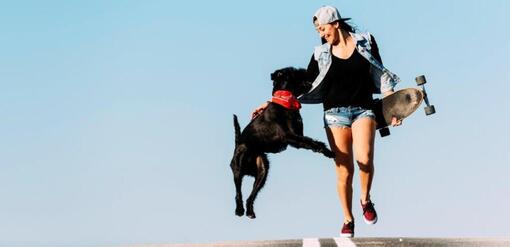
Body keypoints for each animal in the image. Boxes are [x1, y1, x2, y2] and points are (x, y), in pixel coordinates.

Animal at [230, 67, 334, 218]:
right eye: (295, 72)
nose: (308, 72)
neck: (286, 101)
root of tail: (238, 143)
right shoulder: (289, 137)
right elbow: (312, 142)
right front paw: (328, 151)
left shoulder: (297, 136)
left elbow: (310, 141)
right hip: (238, 167)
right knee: (238, 192)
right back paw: (239, 210)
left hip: (263, 171)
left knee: (252, 195)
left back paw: (249, 211)